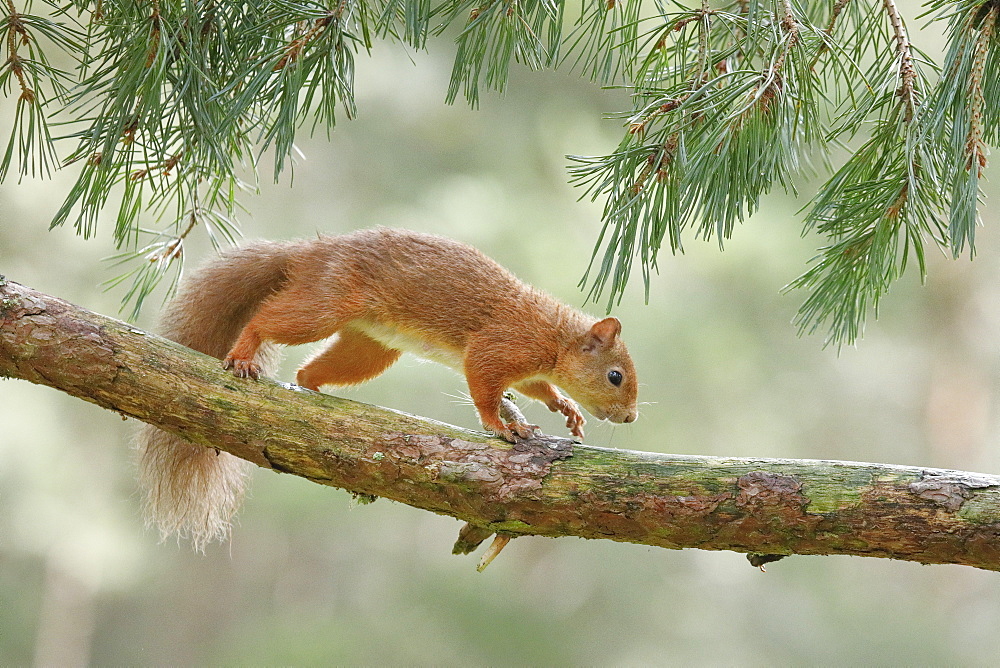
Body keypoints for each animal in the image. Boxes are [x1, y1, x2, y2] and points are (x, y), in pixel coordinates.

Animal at [137, 230, 636, 548]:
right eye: (615, 375)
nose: (630, 417)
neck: (554, 336)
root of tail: (308, 253)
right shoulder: (499, 346)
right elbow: (484, 386)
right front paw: (503, 426)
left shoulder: (526, 365)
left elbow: (537, 387)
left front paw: (565, 406)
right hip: (324, 306)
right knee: (265, 320)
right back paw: (244, 355)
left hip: (368, 348)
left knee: (309, 371)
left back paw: (317, 394)